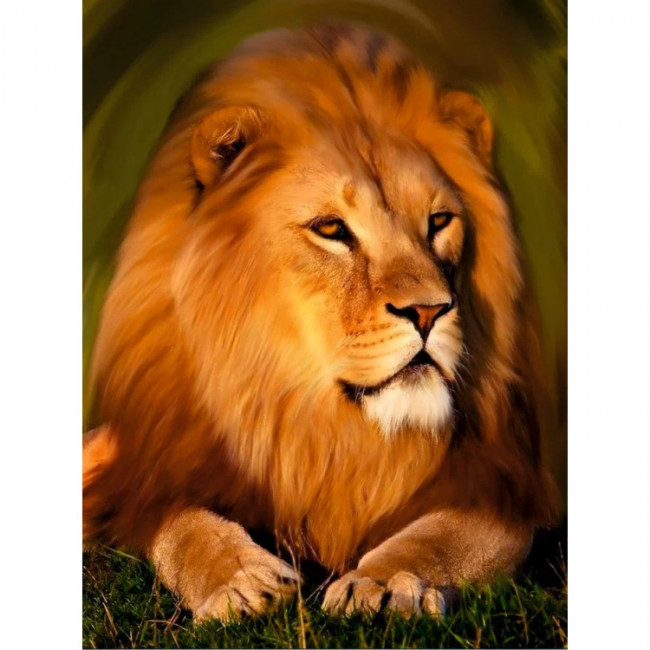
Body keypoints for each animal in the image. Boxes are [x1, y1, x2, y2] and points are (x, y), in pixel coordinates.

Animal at [83, 24, 559, 621]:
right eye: (331, 228)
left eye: (439, 221)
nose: (430, 310)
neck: (319, 427)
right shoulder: (160, 473)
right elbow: (183, 527)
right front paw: (240, 580)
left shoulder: (506, 483)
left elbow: (440, 537)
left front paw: (384, 582)